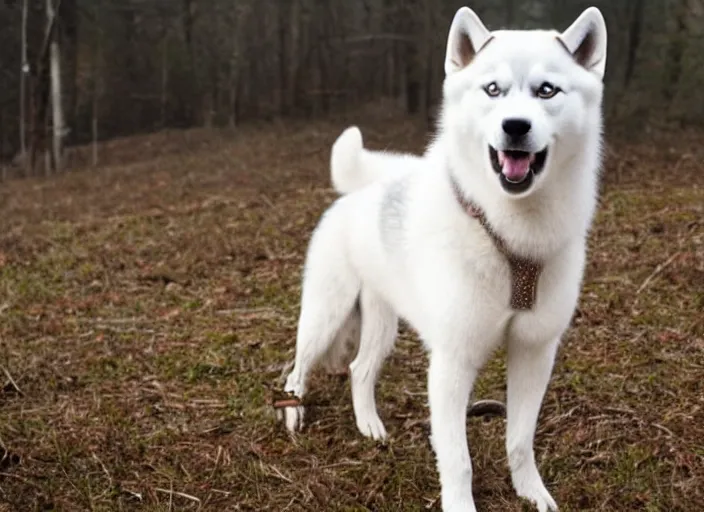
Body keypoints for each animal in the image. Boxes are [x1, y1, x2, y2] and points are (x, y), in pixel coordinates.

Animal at [278, 5, 608, 512]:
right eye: (492, 90)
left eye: (546, 90)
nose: (515, 127)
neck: (506, 236)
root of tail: (358, 193)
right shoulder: (453, 364)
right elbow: (458, 461)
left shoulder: (534, 352)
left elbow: (520, 440)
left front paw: (531, 492)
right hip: (324, 317)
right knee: (297, 367)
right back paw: (295, 413)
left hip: (382, 325)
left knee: (359, 371)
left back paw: (369, 426)